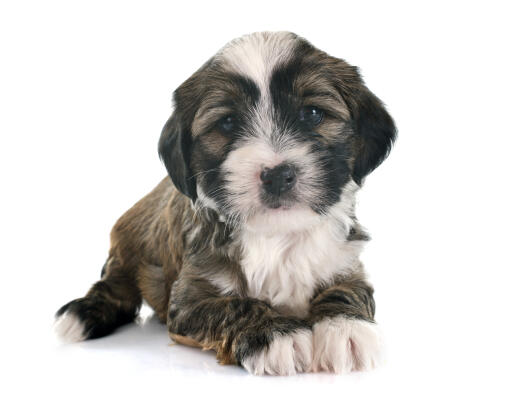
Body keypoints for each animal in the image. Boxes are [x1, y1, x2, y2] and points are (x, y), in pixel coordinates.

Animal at [57, 31, 400, 376]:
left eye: (313, 114)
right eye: (228, 122)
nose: (278, 175)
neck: (277, 235)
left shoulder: (345, 261)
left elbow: (348, 289)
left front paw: (345, 327)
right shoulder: (190, 297)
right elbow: (236, 305)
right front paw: (277, 333)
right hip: (127, 247)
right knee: (115, 287)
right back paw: (82, 313)